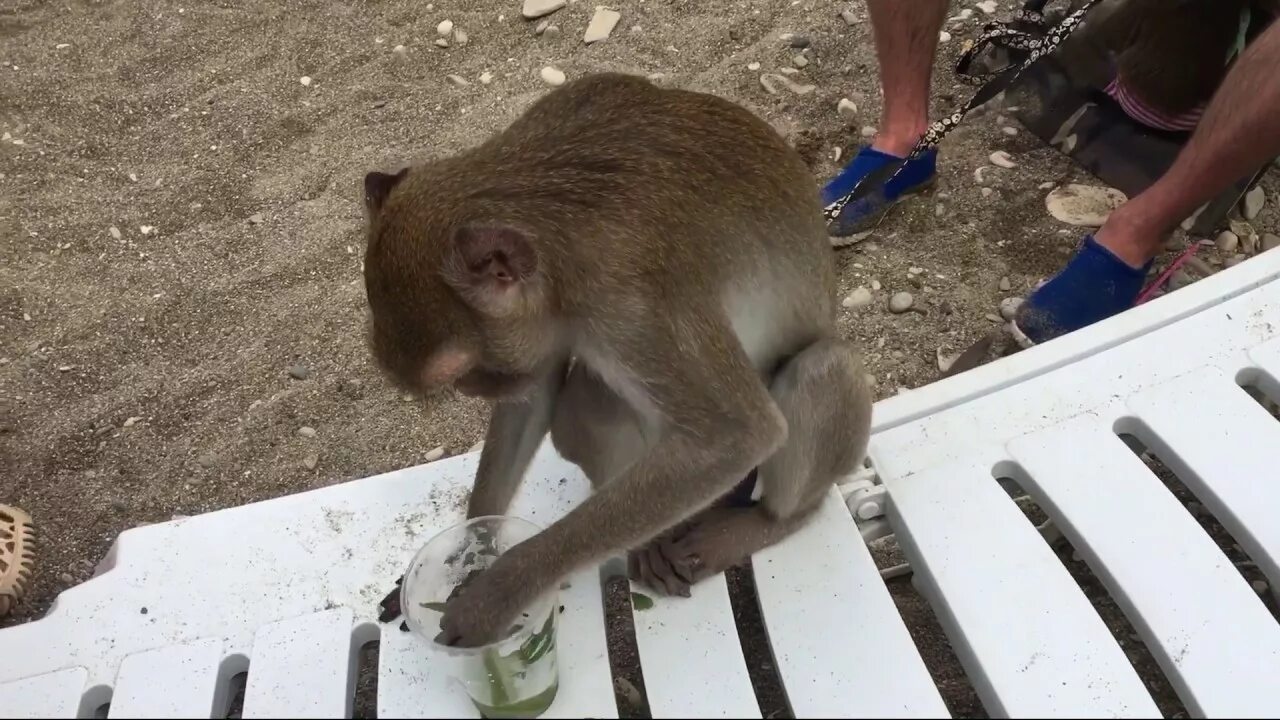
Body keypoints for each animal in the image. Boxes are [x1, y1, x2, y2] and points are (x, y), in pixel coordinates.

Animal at [366, 73, 875, 645]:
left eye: (470, 371)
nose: (473, 390)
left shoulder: (634, 303)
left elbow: (738, 435)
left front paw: (499, 592)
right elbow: (536, 396)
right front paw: (469, 548)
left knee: (823, 369)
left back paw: (770, 520)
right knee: (585, 407)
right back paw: (644, 540)